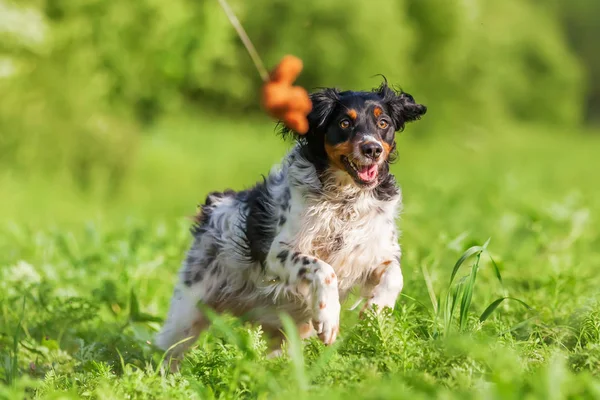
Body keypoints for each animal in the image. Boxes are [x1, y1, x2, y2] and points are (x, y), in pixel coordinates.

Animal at [155, 81, 426, 368]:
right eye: (344, 123)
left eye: (383, 122)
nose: (372, 149)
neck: (344, 201)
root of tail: (215, 205)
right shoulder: (278, 254)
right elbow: (324, 269)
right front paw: (329, 318)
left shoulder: (374, 253)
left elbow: (395, 274)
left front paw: (377, 308)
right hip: (187, 312)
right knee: (165, 350)